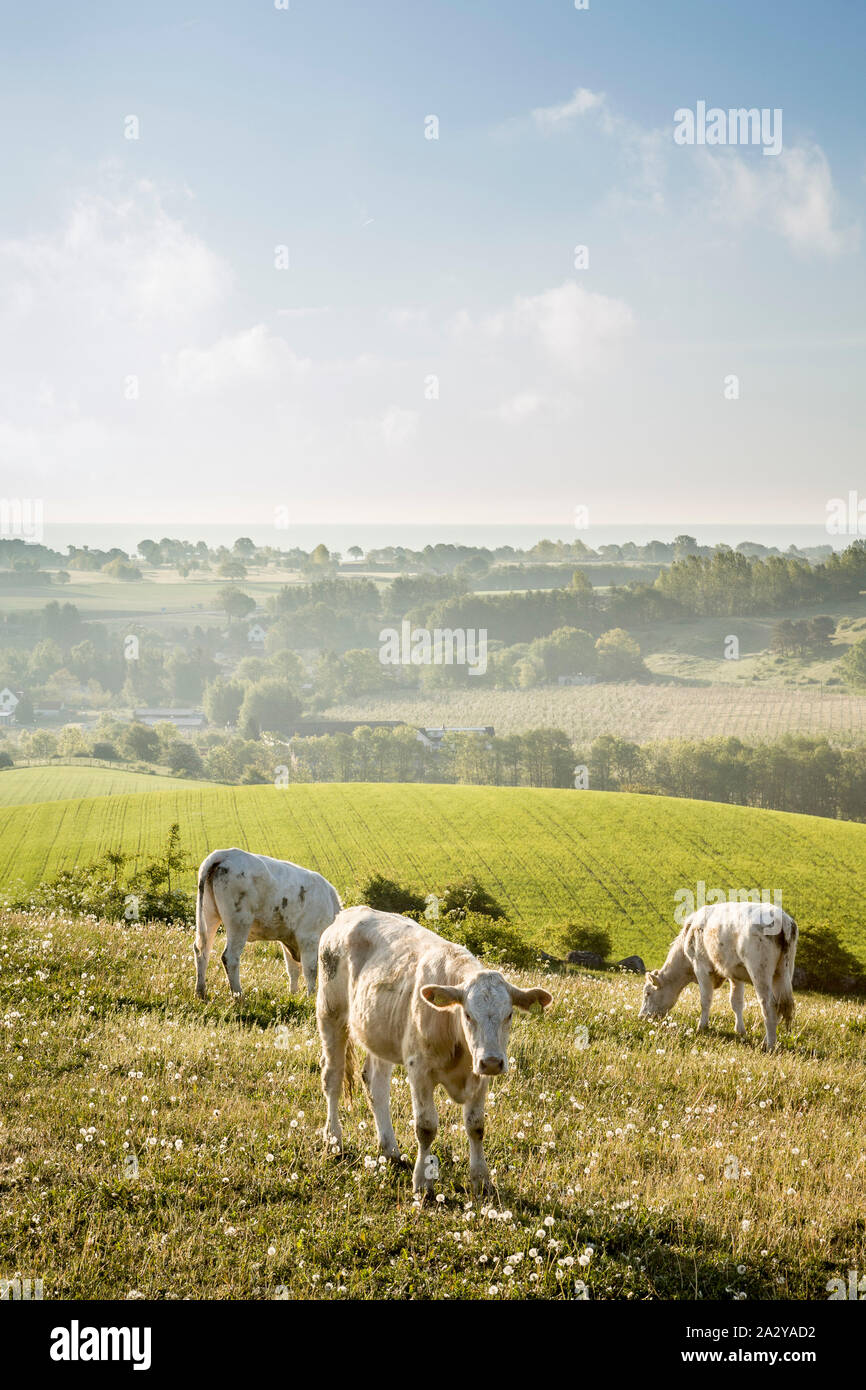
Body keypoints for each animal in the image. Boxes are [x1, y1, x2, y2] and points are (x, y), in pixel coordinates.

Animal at [194, 845, 341, 1000]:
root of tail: (225, 853)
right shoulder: (309, 938)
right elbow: (310, 970)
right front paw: (311, 996)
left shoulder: (289, 939)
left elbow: (293, 969)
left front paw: (293, 994)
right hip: (239, 922)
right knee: (230, 957)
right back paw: (239, 995)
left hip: (208, 914)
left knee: (202, 950)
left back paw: (201, 992)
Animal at [315, 911, 553, 1195]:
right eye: (468, 1015)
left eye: (509, 1015)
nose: (492, 1062)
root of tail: (349, 913)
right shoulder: (419, 1070)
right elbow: (426, 1127)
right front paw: (422, 1182)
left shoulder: (480, 1076)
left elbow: (476, 1126)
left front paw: (481, 1179)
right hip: (330, 1014)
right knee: (333, 1078)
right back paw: (334, 1140)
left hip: (379, 1033)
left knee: (376, 1086)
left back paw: (390, 1150)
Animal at [636, 895, 800, 1045]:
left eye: (647, 993)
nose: (641, 1017)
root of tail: (783, 919)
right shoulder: (735, 973)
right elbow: (736, 1002)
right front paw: (740, 1030)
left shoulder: (701, 967)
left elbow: (705, 1000)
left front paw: (701, 1027)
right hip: (783, 972)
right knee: (778, 1006)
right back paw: (767, 1039)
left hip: (760, 972)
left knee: (769, 1005)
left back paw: (769, 1045)